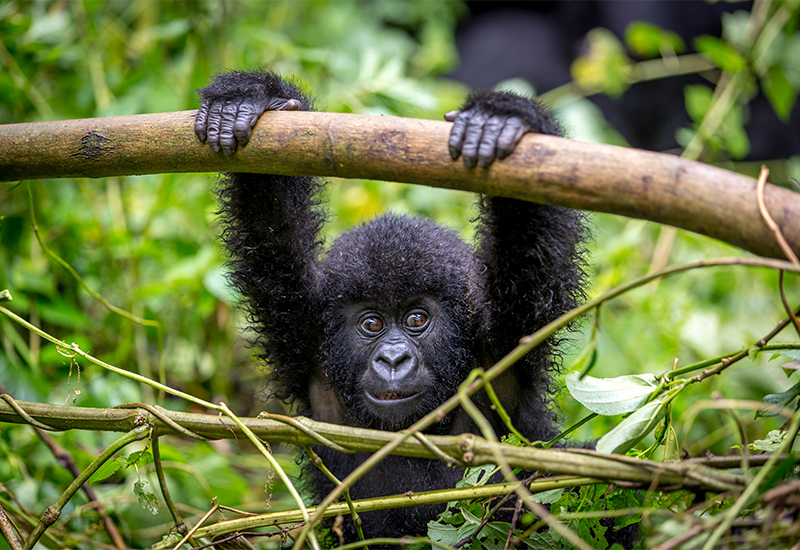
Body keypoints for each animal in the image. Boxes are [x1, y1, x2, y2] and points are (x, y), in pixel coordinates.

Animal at [195, 72, 588, 544]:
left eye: (417, 319)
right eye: (372, 324)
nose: (394, 358)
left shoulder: (505, 345)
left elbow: (529, 245)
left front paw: (502, 119)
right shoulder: (304, 335)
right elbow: (271, 226)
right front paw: (248, 100)